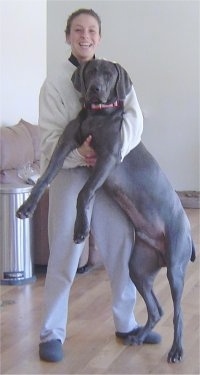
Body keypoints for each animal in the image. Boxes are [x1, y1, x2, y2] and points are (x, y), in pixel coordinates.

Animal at [16, 59, 195, 364]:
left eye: (109, 74)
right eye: (91, 71)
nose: (96, 89)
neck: (97, 114)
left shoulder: (109, 157)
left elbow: (84, 192)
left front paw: (81, 229)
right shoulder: (65, 145)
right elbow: (44, 178)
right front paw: (27, 206)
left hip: (175, 266)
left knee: (178, 313)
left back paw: (176, 350)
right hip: (139, 267)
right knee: (157, 309)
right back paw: (138, 336)